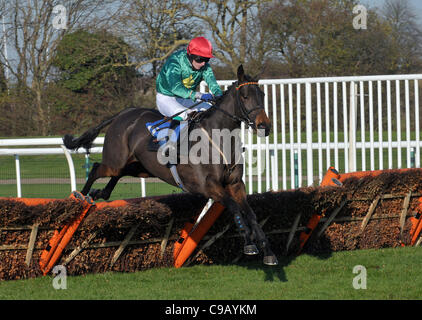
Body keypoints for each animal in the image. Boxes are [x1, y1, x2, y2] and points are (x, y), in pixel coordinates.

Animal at [63, 64, 276, 264]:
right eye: (245, 96)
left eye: (263, 95)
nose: (264, 126)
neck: (218, 139)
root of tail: (124, 113)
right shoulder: (208, 186)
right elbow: (234, 208)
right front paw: (249, 243)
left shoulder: (235, 184)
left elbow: (250, 213)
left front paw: (267, 251)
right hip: (116, 161)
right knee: (97, 169)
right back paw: (79, 198)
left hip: (140, 167)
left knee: (116, 176)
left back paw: (98, 193)